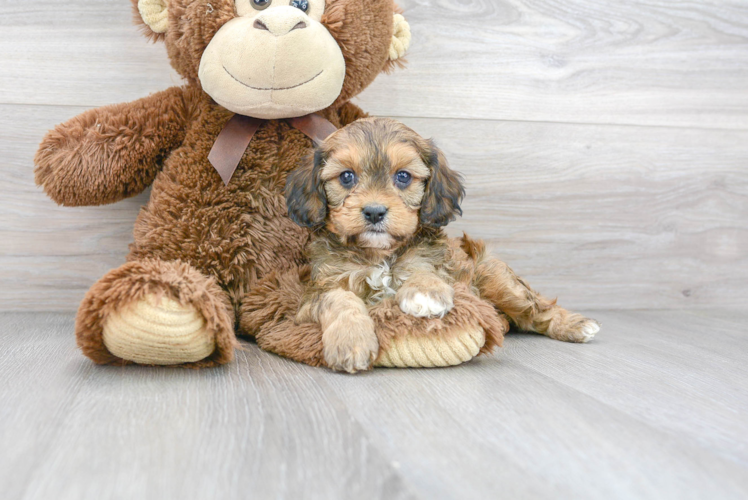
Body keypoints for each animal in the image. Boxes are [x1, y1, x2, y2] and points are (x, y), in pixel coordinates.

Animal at [284, 119, 600, 374]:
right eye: (346, 176)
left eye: (403, 176)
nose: (374, 212)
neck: (379, 255)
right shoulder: (315, 293)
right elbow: (339, 299)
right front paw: (351, 341)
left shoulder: (433, 262)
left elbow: (424, 272)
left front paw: (425, 292)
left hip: (498, 280)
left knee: (537, 309)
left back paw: (574, 325)